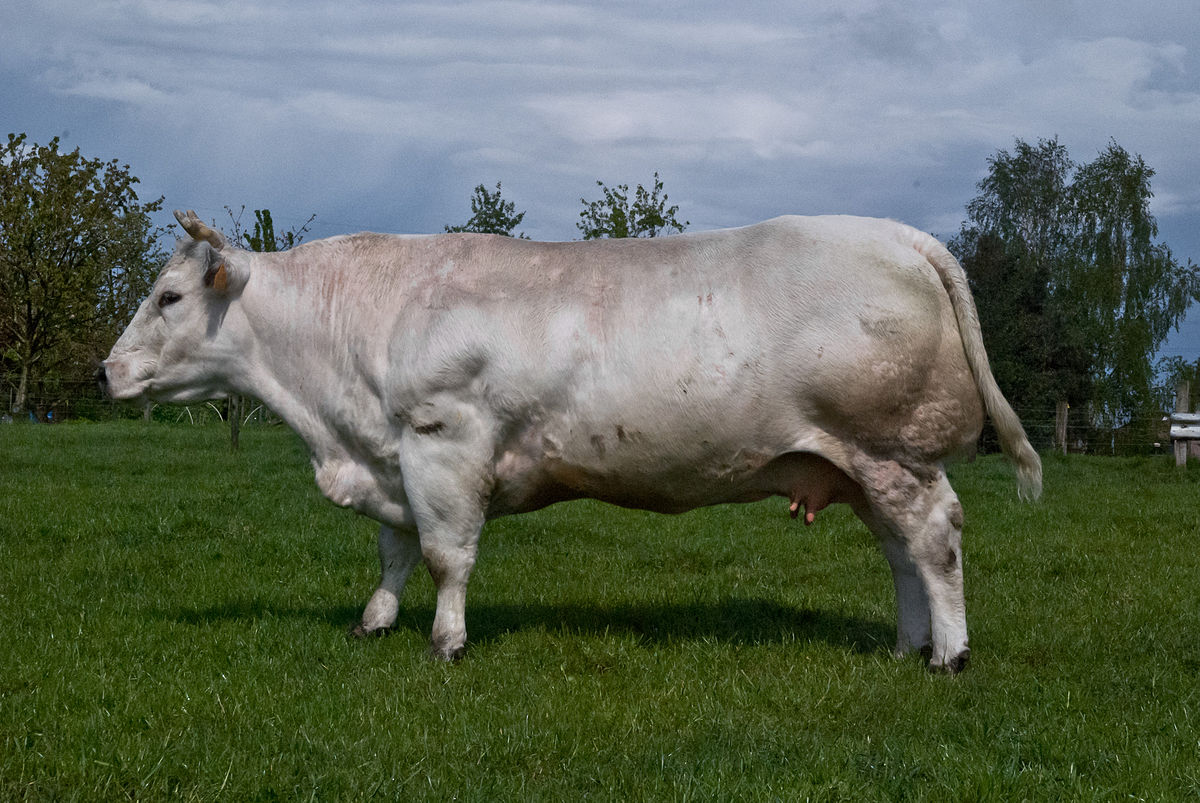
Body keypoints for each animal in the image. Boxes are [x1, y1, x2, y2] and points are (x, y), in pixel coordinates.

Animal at [105, 211, 1041, 672]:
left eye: (169, 297)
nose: (107, 370)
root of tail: (901, 235)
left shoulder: (444, 442)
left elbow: (445, 555)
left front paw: (446, 642)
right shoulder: (393, 458)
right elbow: (393, 552)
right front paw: (374, 622)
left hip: (898, 453)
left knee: (934, 541)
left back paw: (949, 654)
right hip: (866, 465)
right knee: (901, 553)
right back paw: (908, 644)